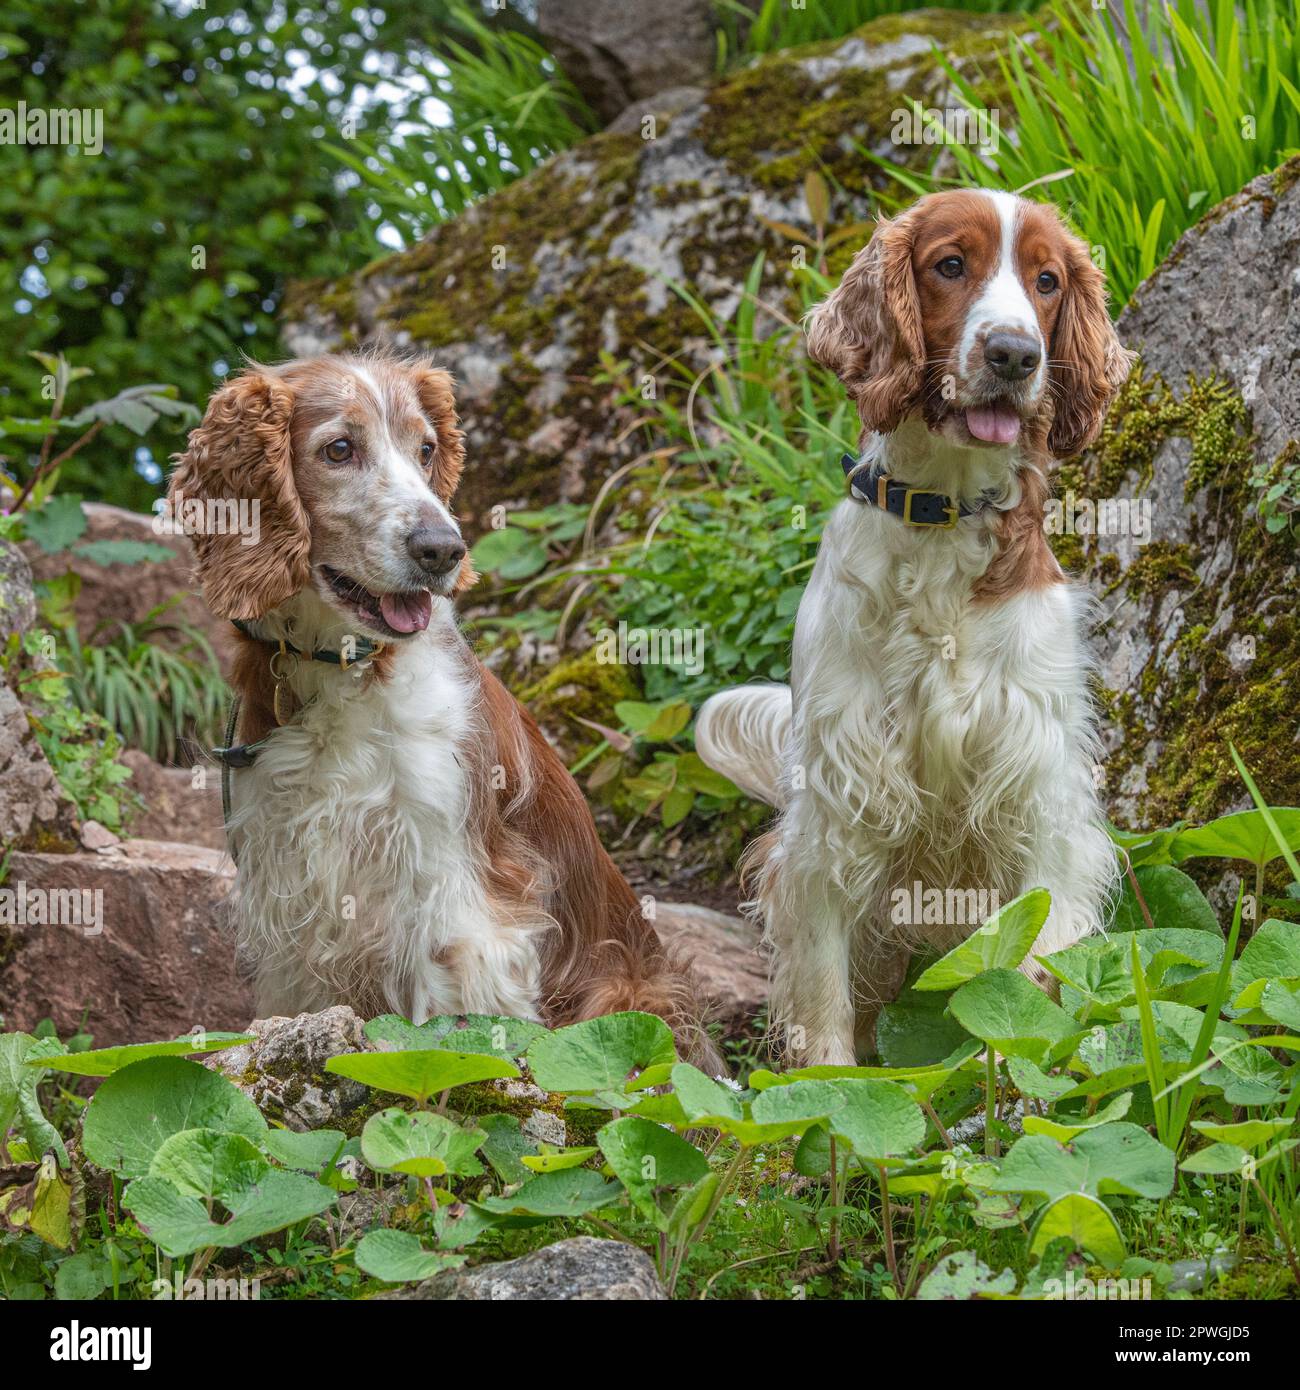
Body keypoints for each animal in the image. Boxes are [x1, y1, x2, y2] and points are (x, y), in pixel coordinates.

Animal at [695, 193, 1134, 1061]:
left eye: (1047, 280)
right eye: (950, 264)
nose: (1013, 354)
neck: (945, 515)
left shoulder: (1039, 789)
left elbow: (1031, 967)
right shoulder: (836, 800)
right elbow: (825, 997)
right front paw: (828, 1084)